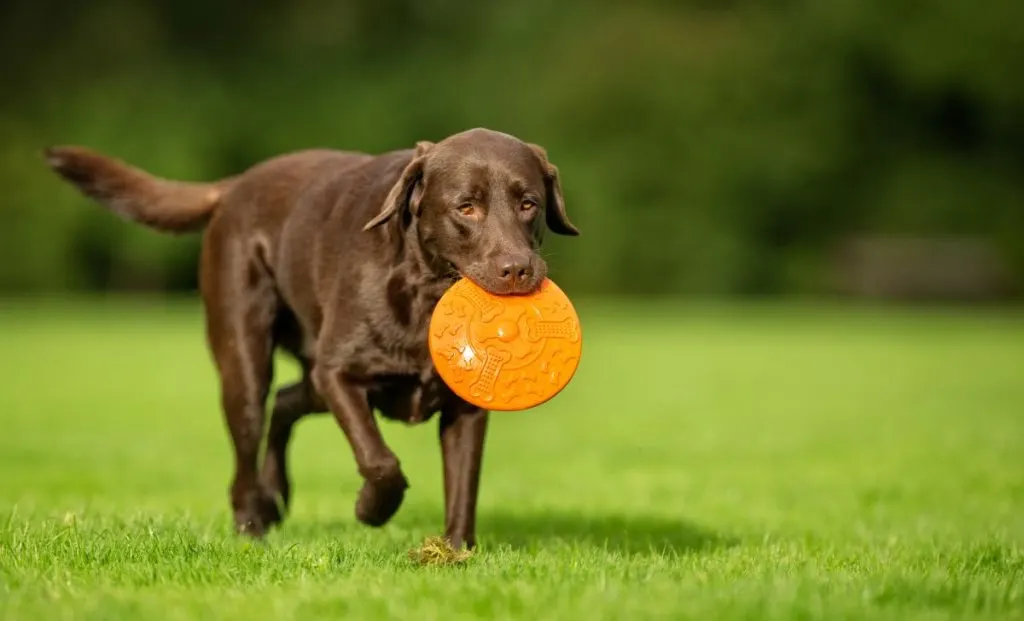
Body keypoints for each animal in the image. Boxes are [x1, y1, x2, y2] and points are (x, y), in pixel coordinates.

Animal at [41, 127, 577, 549]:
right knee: (249, 441)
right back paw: (253, 524)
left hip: (308, 375)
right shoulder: (339, 373)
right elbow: (379, 460)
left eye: (528, 203)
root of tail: (236, 185)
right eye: (466, 207)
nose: (518, 269)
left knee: (284, 402)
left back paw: (276, 496)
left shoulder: (465, 408)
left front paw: (456, 552)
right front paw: (370, 509)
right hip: (246, 361)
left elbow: (464, 483)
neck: (425, 293)